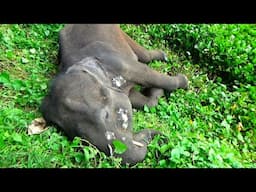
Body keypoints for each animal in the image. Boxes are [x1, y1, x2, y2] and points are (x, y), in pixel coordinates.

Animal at [40, 24, 188, 165]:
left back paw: (163, 56)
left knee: (145, 56)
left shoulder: (119, 63)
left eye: (105, 115)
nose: (162, 139)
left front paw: (183, 82)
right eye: (75, 135)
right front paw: (157, 91)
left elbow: (145, 73)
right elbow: (137, 99)